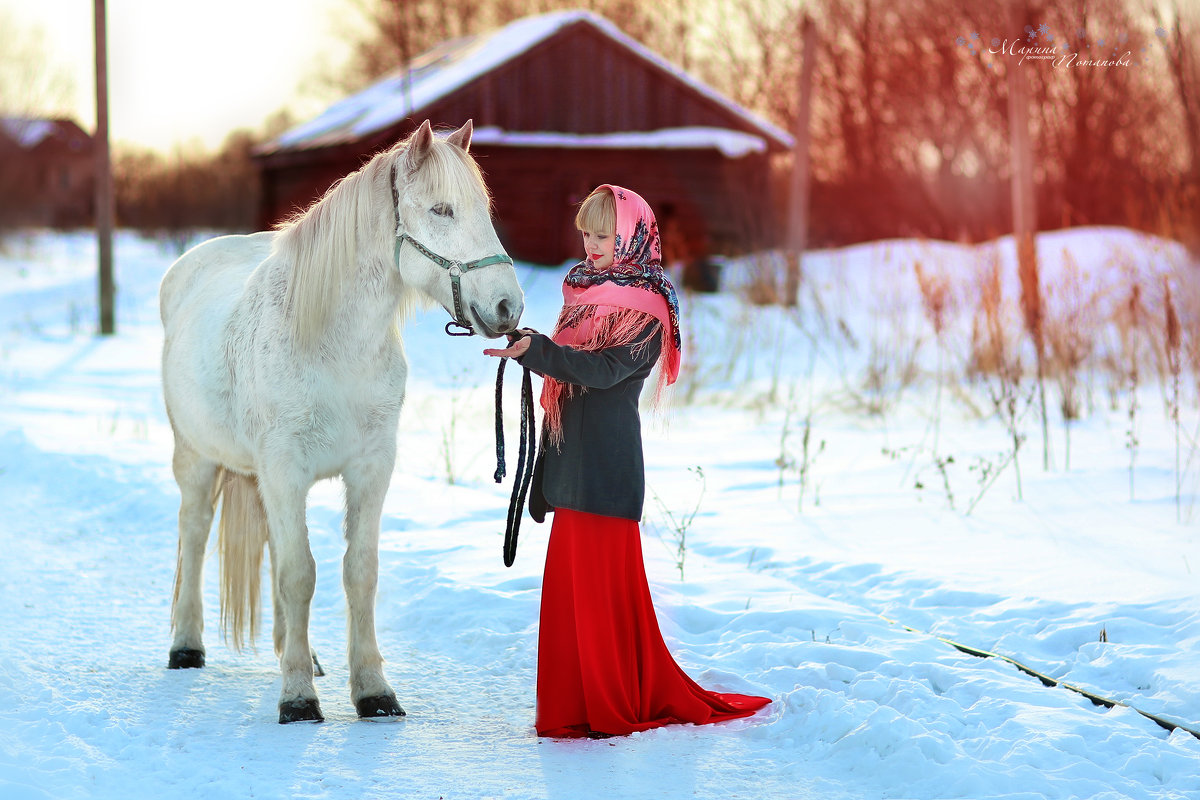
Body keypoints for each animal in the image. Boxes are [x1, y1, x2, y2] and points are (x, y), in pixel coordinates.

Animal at [159, 120, 520, 724]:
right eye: (441, 209)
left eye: (484, 210)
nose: (507, 307)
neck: (333, 346)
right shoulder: (284, 471)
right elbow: (299, 573)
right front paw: (298, 699)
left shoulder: (371, 469)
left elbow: (358, 571)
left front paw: (371, 690)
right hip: (197, 457)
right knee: (194, 531)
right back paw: (187, 647)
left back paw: (297, 651)